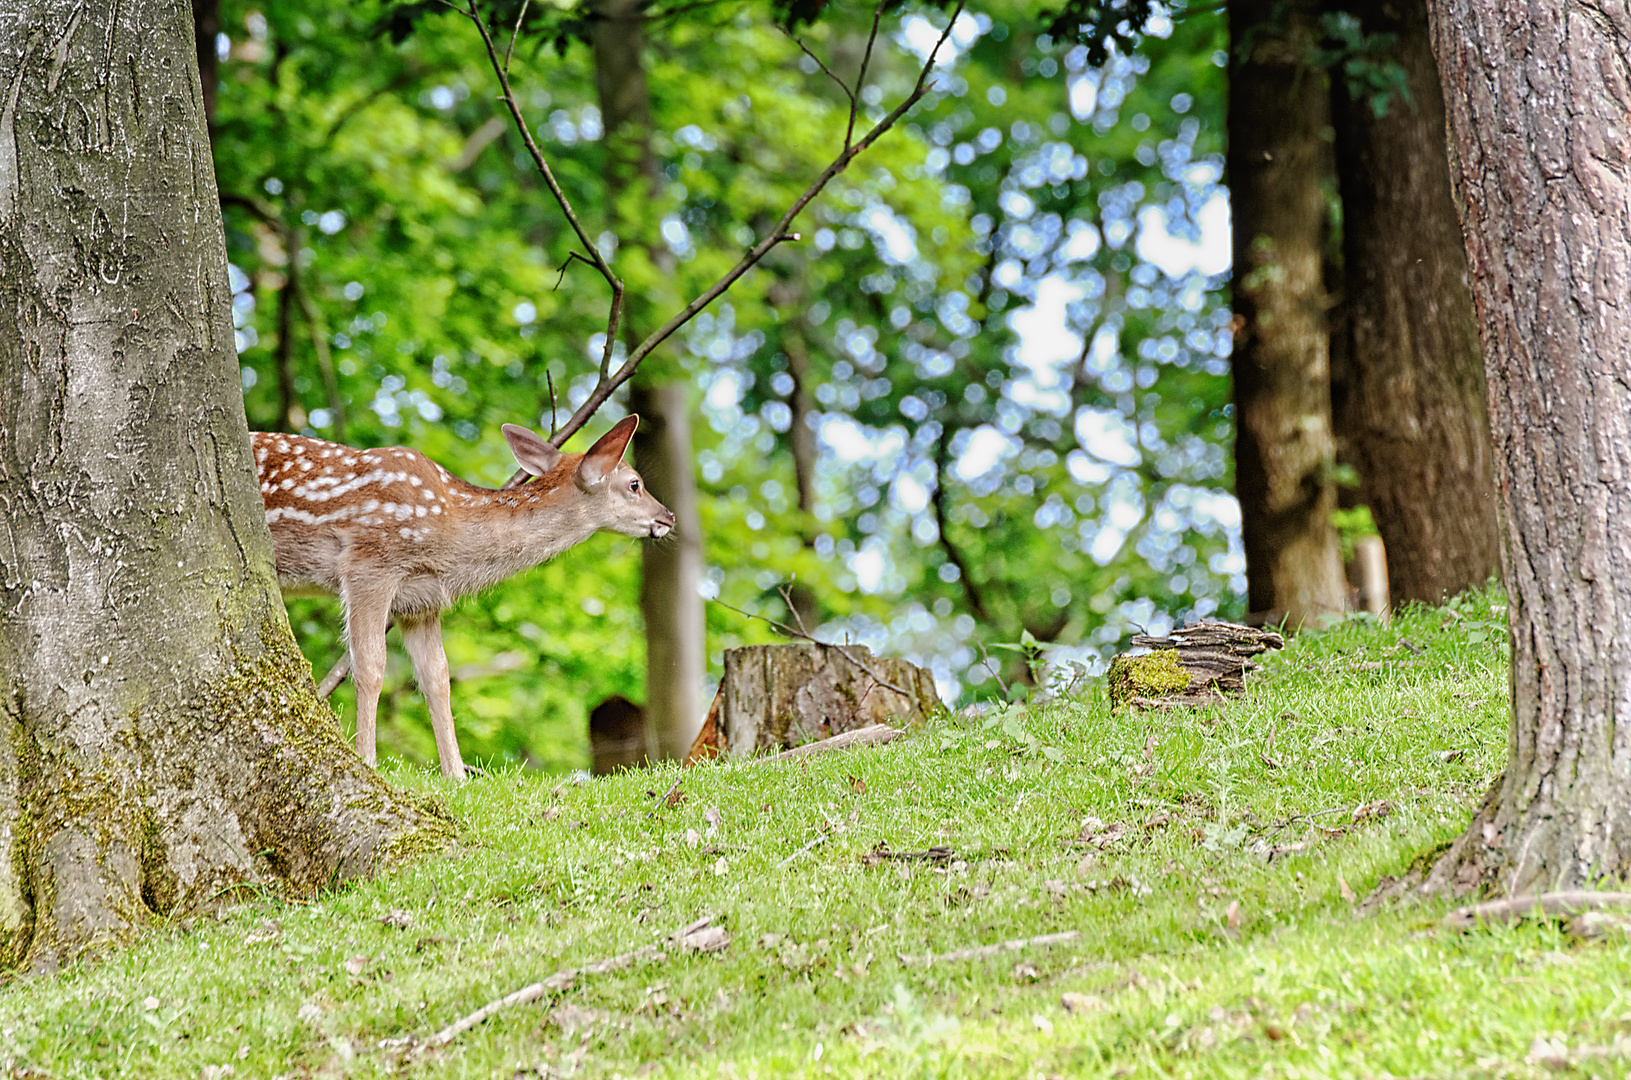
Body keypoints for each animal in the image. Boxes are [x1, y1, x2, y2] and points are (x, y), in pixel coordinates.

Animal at [251, 417, 671, 783]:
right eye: (635, 483)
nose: (668, 516)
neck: (451, 535)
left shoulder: (420, 600)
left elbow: (437, 677)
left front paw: (456, 774)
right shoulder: (369, 564)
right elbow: (370, 667)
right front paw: (367, 761)